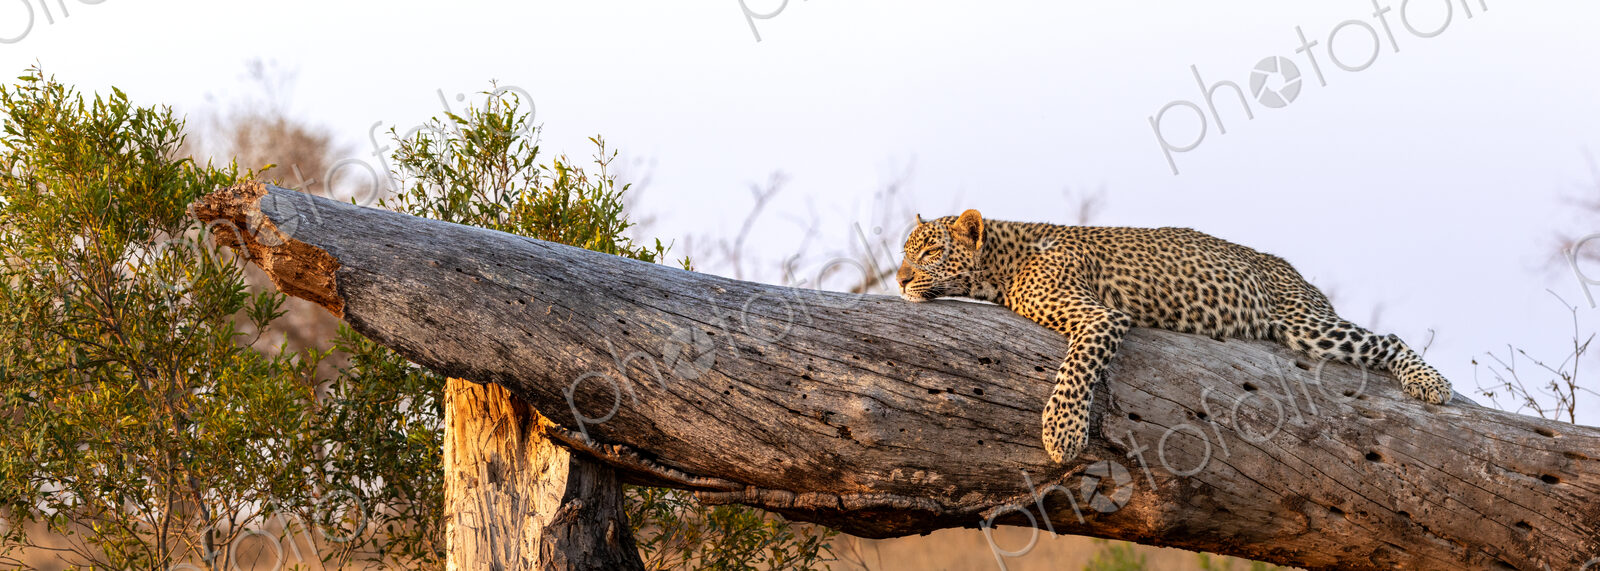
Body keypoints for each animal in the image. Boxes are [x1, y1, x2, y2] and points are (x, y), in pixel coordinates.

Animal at [895, 210, 1453, 464]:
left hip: (1306, 324)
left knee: (1387, 339)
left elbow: (1074, 372)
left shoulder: (1100, 317)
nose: (898, 279)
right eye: (905, 252)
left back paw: (1432, 384)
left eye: (930, 252)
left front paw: (1062, 434)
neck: (1000, 264)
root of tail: (1292, 270)